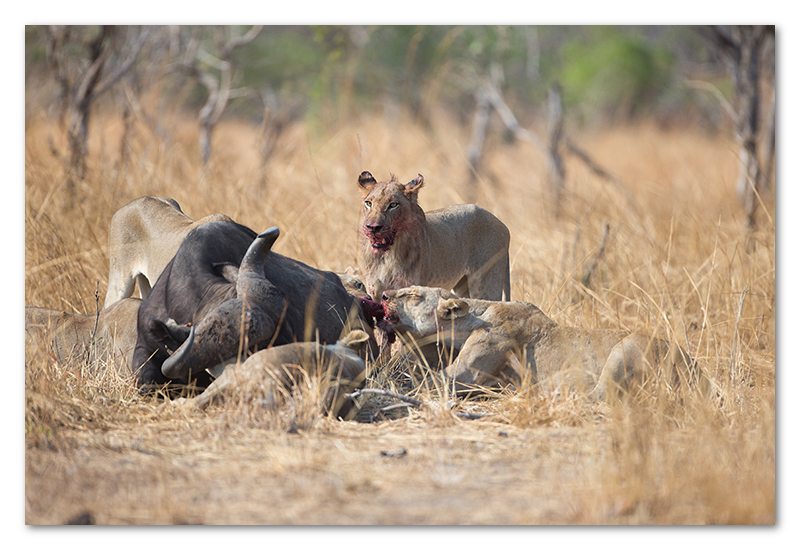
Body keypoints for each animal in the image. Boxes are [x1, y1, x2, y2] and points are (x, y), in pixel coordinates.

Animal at [382, 288, 708, 402]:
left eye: (412, 294)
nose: (384, 295)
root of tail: (696, 370)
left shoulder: (467, 372)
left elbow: (428, 381)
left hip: (628, 347)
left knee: (598, 394)